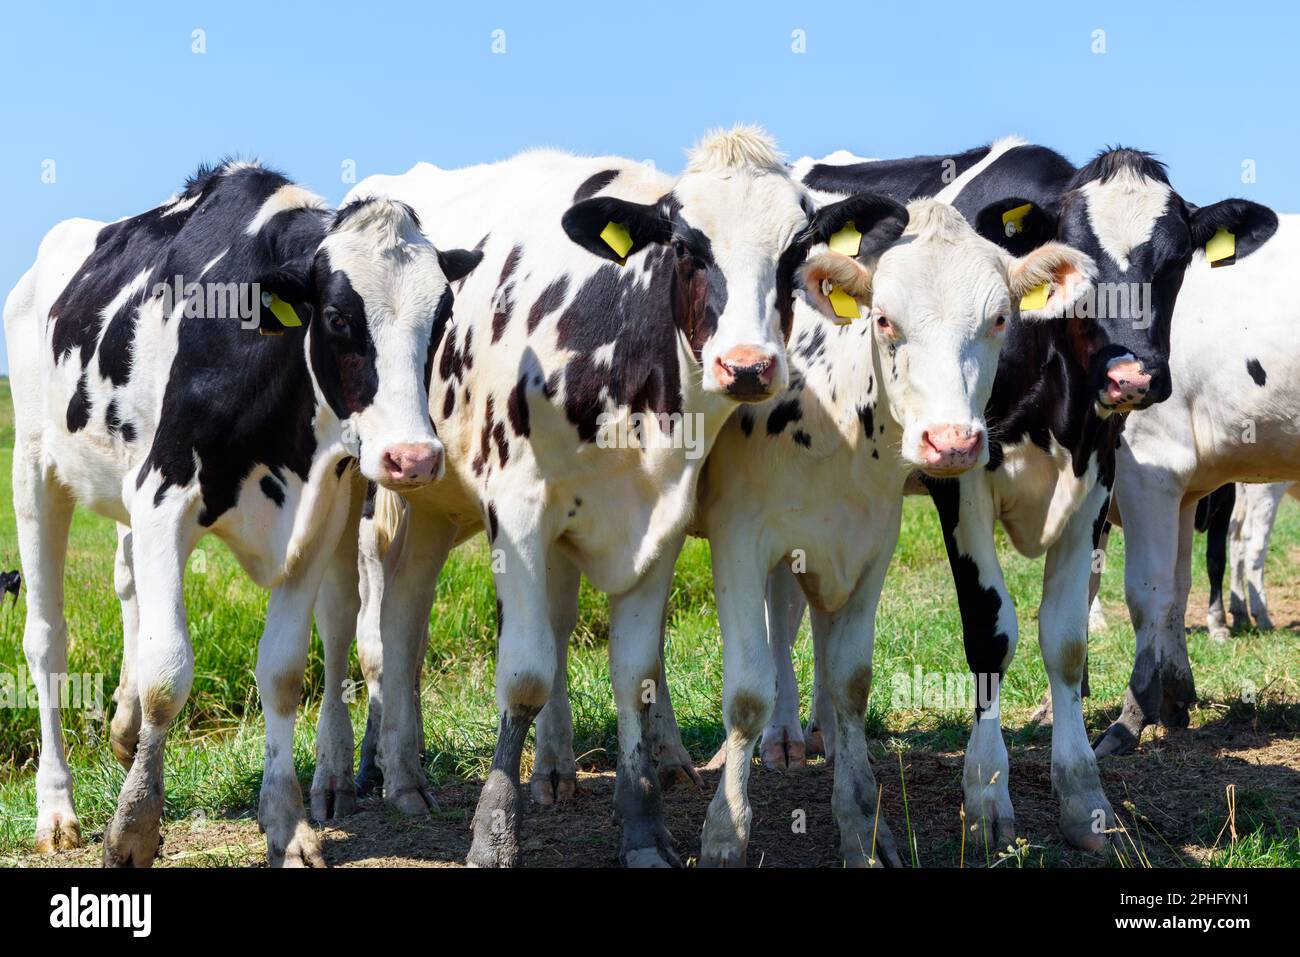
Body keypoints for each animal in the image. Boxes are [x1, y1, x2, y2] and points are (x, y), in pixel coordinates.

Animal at [3, 160, 481, 867]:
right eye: (337, 317)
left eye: (442, 315)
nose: (413, 459)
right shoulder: (162, 495)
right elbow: (167, 671)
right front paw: (135, 825)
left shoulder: (318, 518)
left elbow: (281, 672)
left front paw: (287, 825)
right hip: (35, 468)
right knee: (46, 640)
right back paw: (57, 809)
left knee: (128, 582)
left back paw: (123, 731)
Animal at [330, 127, 890, 866]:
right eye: (685, 247)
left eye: (795, 252)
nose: (746, 366)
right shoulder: (518, 512)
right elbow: (526, 673)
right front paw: (493, 831)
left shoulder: (659, 520)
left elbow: (633, 672)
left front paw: (644, 826)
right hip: (381, 491)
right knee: (378, 628)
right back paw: (383, 771)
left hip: (436, 502)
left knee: (408, 616)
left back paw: (422, 773)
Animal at [1095, 216, 1296, 756]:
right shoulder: (1181, 488)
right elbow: (1175, 587)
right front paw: (1177, 699)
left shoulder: (1150, 467)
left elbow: (1149, 591)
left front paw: (1131, 716)